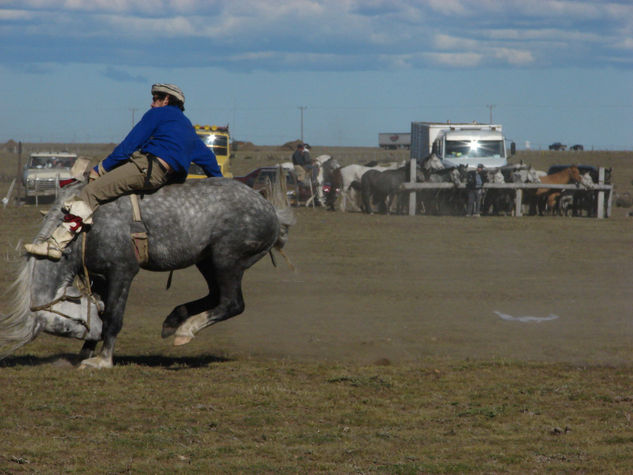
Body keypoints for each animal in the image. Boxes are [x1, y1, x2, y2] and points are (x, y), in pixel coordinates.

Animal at [0, 178, 296, 368]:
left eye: (66, 324)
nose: (94, 335)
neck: (84, 228)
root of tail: (271, 211)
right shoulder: (100, 276)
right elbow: (102, 308)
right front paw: (87, 352)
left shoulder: (122, 272)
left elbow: (114, 316)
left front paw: (103, 359)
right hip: (208, 262)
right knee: (216, 296)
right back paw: (174, 319)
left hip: (227, 260)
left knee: (232, 303)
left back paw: (186, 329)